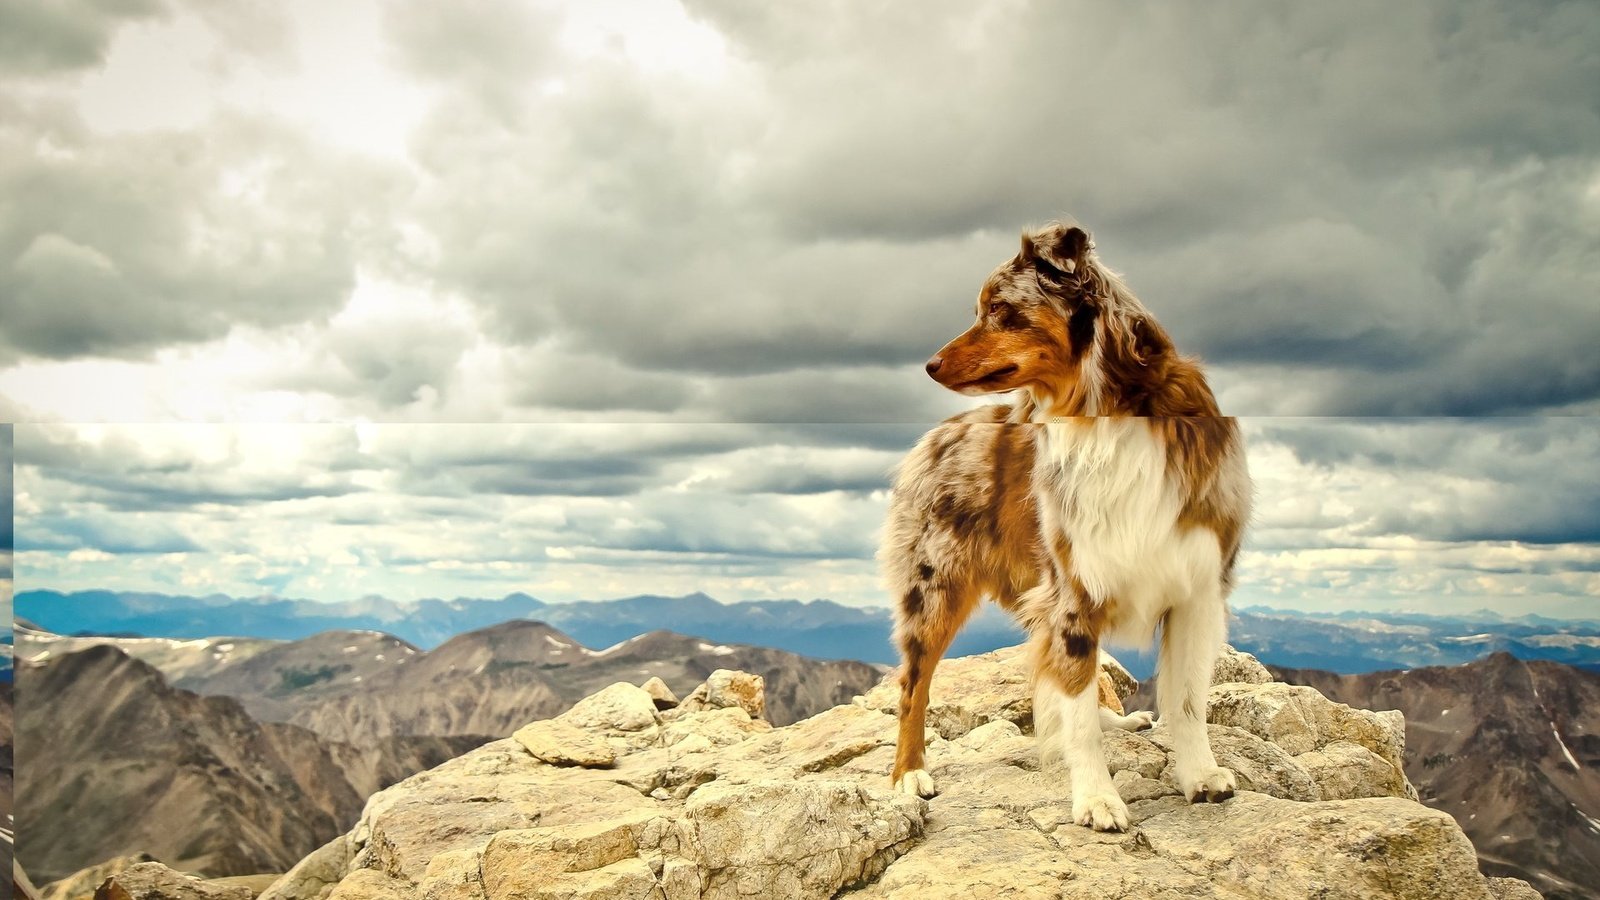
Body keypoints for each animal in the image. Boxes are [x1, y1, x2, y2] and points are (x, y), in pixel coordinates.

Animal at [883, 220, 1254, 832]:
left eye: (999, 308)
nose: (930, 364)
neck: (1106, 412)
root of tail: (939, 433)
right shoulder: (1072, 592)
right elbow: (1076, 711)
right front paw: (1097, 799)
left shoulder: (1197, 588)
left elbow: (1185, 699)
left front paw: (1200, 776)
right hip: (934, 588)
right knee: (915, 686)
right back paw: (908, 774)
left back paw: (1118, 721)